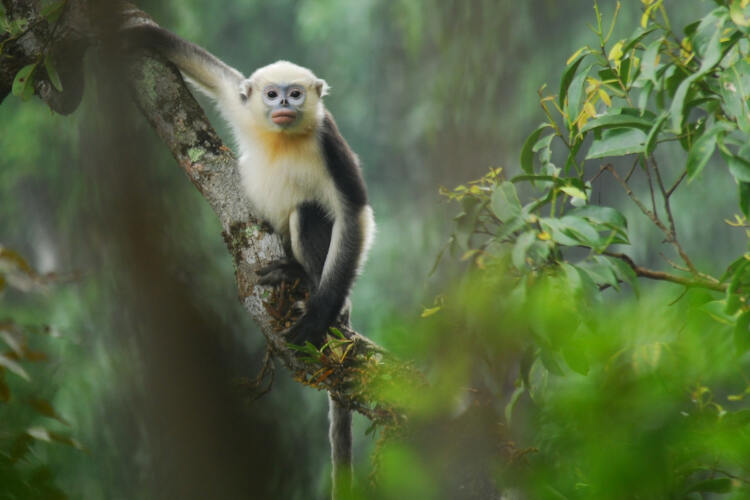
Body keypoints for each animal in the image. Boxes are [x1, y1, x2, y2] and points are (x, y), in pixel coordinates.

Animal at [122, 18, 376, 496]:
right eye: (272, 94)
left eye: (295, 94)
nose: (284, 105)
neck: (284, 138)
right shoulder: (243, 106)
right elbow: (217, 75)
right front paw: (135, 35)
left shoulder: (328, 140)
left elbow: (354, 213)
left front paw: (318, 316)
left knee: (309, 211)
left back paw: (314, 287)